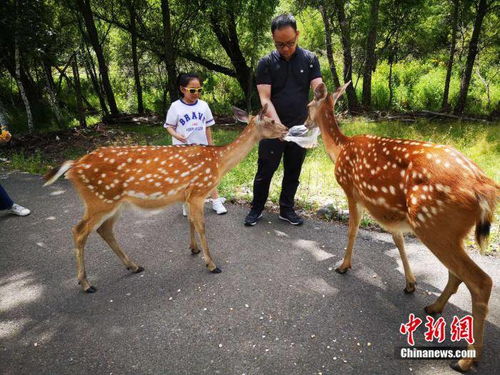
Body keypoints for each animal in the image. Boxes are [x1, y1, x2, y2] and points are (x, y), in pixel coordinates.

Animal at [45, 105, 288, 294]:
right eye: (271, 120)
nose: (286, 129)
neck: (218, 162)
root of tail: (73, 167)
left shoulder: (188, 194)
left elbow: (190, 221)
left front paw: (193, 249)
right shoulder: (199, 190)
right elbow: (201, 225)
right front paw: (211, 264)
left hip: (114, 202)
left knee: (104, 230)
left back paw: (134, 266)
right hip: (100, 199)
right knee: (79, 231)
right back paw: (86, 284)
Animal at [306, 82, 498, 374]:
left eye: (308, 106)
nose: (304, 122)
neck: (339, 149)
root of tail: (484, 188)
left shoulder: (350, 189)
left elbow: (352, 229)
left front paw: (343, 266)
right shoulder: (390, 213)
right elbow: (398, 241)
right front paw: (410, 283)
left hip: (433, 224)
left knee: (480, 280)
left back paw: (466, 358)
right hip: (450, 231)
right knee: (458, 273)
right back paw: (434, 307)